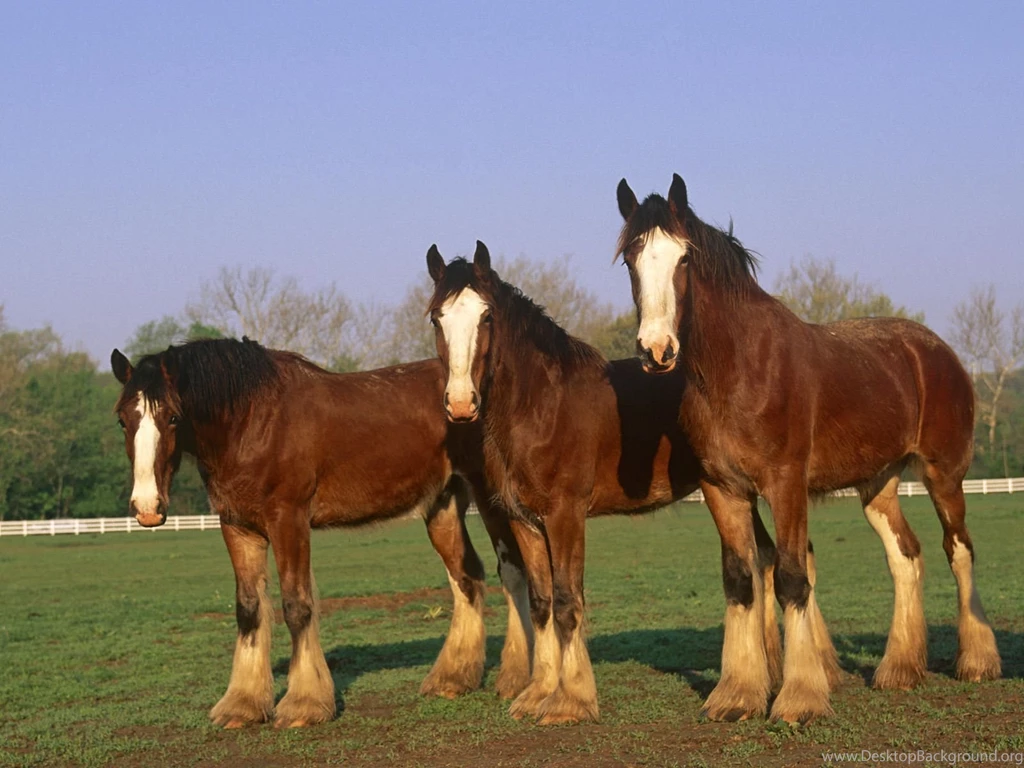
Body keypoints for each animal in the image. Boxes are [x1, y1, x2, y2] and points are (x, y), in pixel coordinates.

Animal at [110, 338, 533, 728]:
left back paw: (516, 678)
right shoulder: (237, 526)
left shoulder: (289, 520)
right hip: (443, 505)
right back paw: (453, 678)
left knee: (512, 573)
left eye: (173, 417)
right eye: (122, 420)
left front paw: (304, 705)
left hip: (491, 499)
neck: (253, 421)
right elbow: (248, 608)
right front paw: (242, 705)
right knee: (467, 577)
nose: (147, 508)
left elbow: (297, 606)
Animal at [425, 241, 785, 725]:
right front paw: (537, 694)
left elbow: (567, 600)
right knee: (763, 558)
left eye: (486, 317)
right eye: (436, 318)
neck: (541, 406)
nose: (462, 404)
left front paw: (571, 701)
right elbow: (541, 603)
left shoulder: (565, 515)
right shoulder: (524, 521)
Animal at [614, 173, 1001, 723]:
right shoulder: (722, 489)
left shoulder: (785, 484)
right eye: (631, 259)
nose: (657, 350)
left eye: (684, 258)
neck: (740, 369)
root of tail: (936, 351)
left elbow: (793, 578)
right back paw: (899, 670)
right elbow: (741, 580)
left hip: (944, 474)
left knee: (959, 549)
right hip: (878, 485)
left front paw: (799, 698)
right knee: (905, 556)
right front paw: (737, 694)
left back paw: (977, 662)